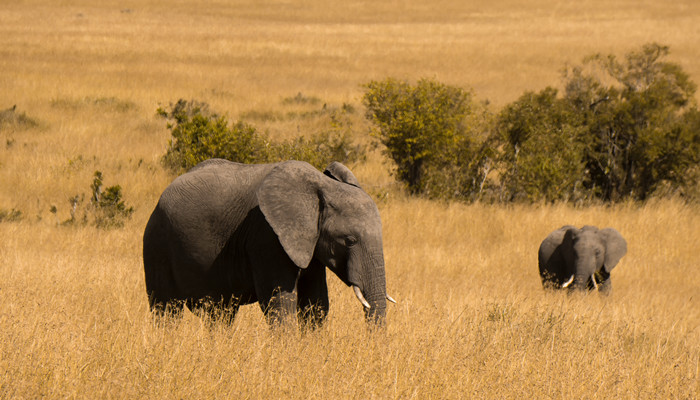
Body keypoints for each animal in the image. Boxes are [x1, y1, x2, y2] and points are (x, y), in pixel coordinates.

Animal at [144, 159, 394, 324]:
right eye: (349, 241)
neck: (321, 187)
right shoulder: (266, 237)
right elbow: (279, 303)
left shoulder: (309, 242)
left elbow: (316, 303)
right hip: (157, 243)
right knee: (166, 309)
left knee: (221, 314)